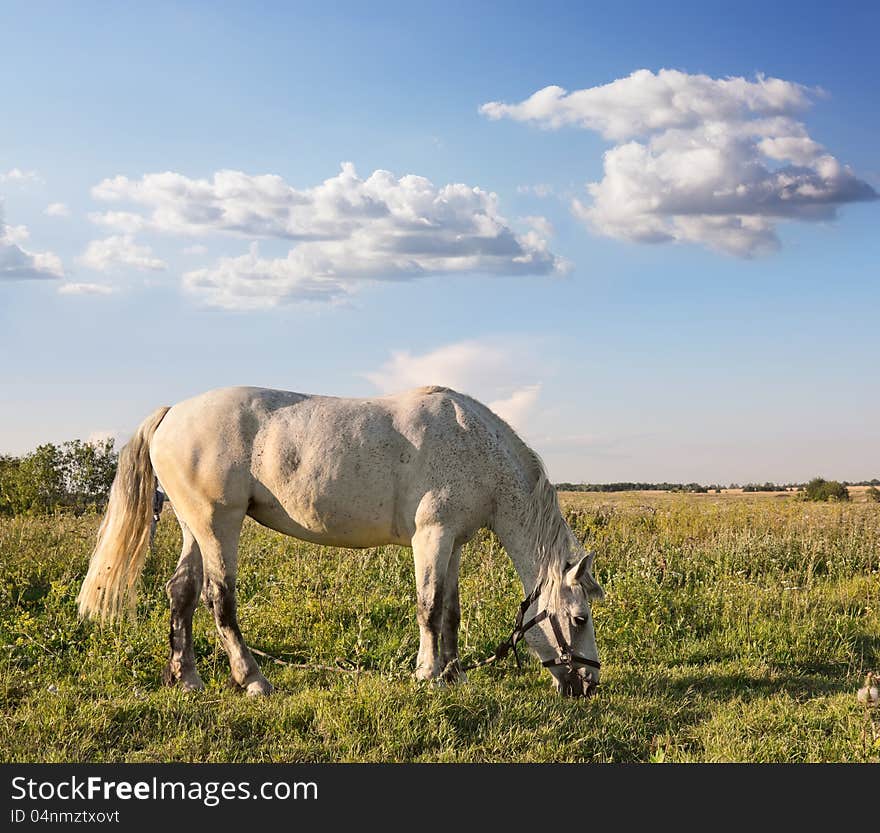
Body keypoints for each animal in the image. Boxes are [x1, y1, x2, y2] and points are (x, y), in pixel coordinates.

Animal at [77, 386, 604, 696]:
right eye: (579, 619)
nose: (589, 684)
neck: (476, 446)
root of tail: (171, 415)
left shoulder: (453, 542)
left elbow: (450, 610)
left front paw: (453, 673)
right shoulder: (430, 537)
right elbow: (429, 607)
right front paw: (428, 675)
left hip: (194, 528)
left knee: (182, 594)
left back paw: (186, 678)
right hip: (218, 525)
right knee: (218, 599)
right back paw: (252, 679)